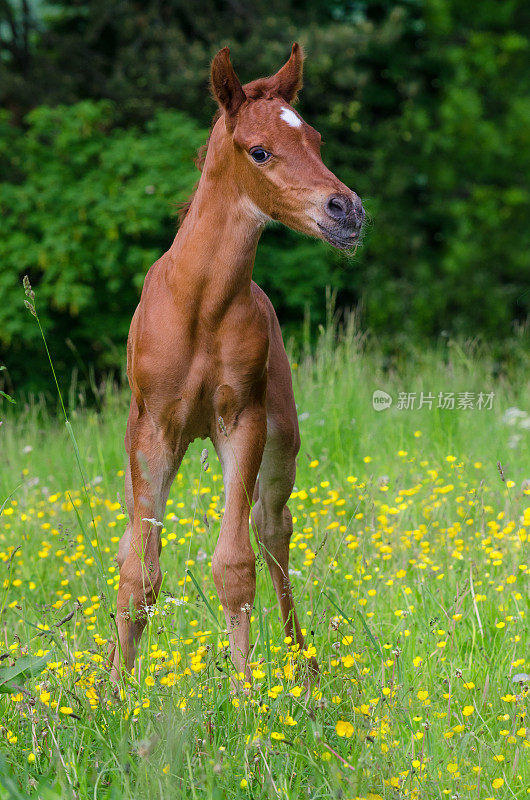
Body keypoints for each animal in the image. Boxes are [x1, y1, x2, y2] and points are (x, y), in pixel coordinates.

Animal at [109, 43, 360, 680]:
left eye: (316, 139)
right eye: (260, 150)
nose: (347, 211)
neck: (200, 302)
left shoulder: (241, 423)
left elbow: (234, 565)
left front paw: (247, 695)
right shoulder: (152, 430)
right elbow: (138, 571)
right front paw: (115, 692)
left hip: (281, 443)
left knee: (273, 532)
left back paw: (302, 663)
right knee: (130, 542)